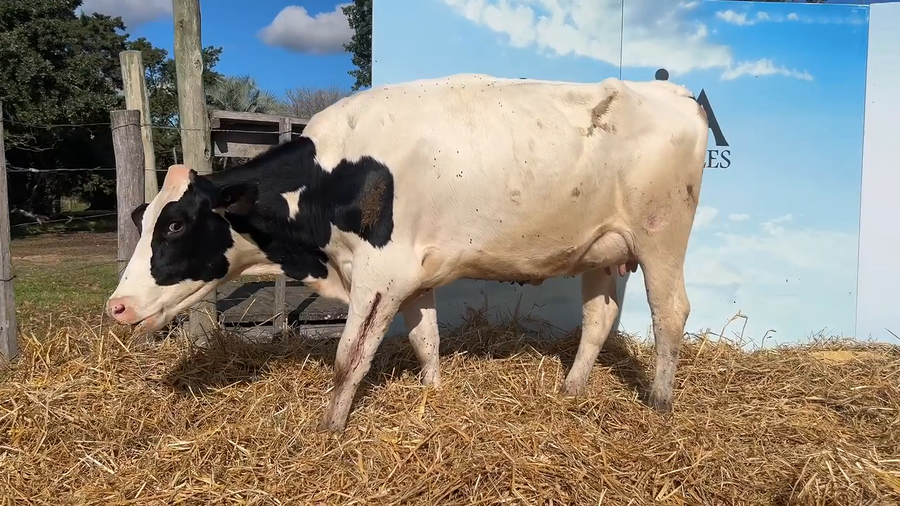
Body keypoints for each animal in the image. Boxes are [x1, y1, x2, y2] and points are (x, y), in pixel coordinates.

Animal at [106, 73, 709, 433]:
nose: (117, 306)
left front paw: (330, 430)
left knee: (670, 312)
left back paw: (659, 402)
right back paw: (571, 389)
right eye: (142, 218)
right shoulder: (414, 275)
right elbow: (426, 341)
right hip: (604, 249)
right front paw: (433, 395)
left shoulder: (380, 273)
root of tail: (675, 93)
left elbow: (348, 358)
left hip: (660, 237)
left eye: (176, 224)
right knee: (599, 316)